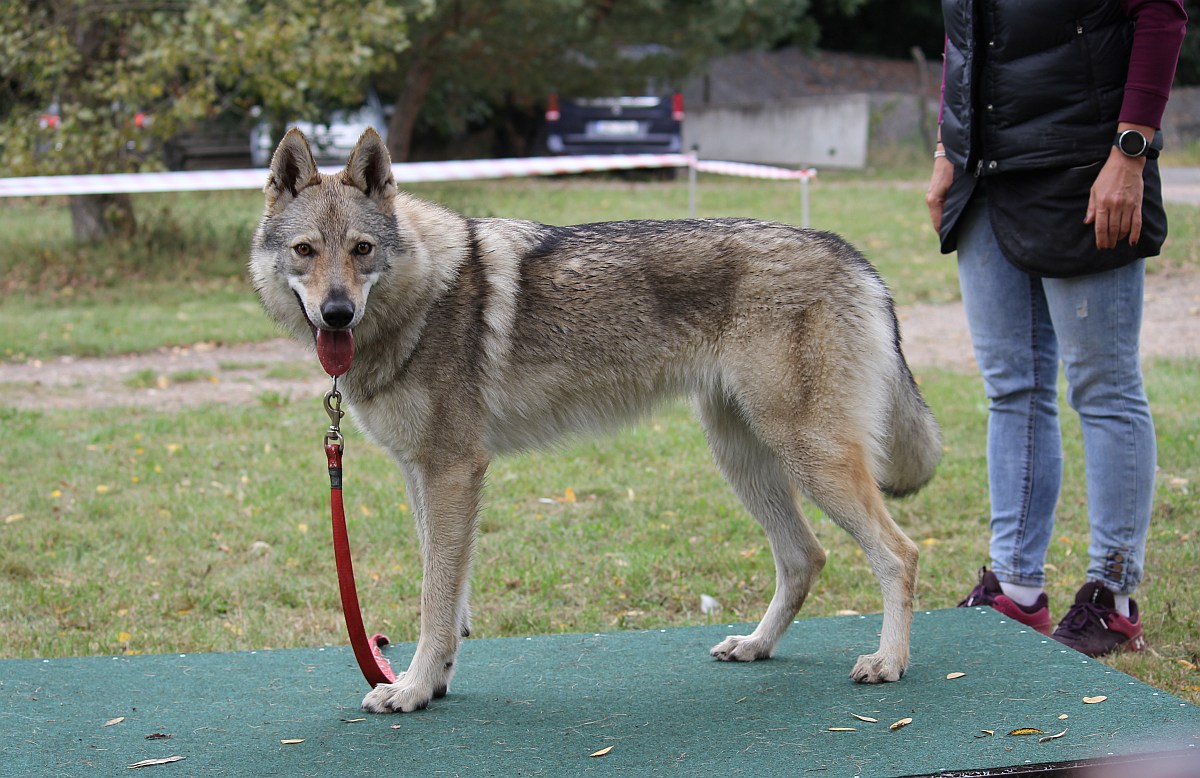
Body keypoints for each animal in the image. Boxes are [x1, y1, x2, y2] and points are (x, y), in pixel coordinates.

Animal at [250, 128, 941, 714]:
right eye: (306, 251)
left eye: (361, 250)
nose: (336, 314)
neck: (420, 296)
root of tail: (851, 254)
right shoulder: (422, 475)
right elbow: (450, 597)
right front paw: (433, 682)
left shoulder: (452, 472)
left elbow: (434, 599)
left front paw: (411, 689)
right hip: (744, 459)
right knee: (805, 558)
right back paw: (755, 646)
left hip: (808, 456)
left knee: (900, 555)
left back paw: (888, 662)